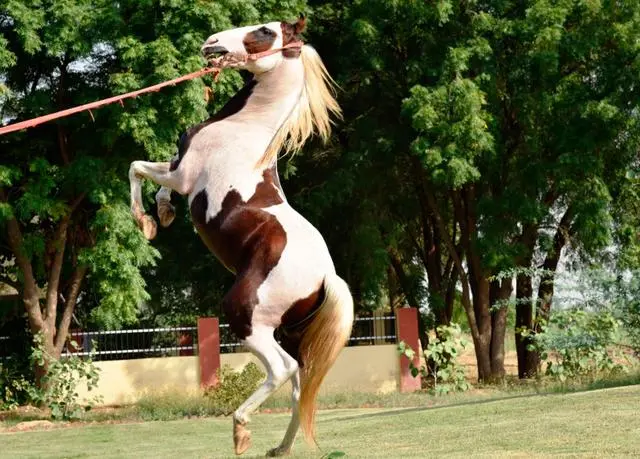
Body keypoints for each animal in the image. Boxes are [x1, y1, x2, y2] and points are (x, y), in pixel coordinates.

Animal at [127, 13, 352, 456]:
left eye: (264, 31)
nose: (211, 42)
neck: (244, 128)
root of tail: (326, 277)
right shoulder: (179, 173)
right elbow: (152, 177)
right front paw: (162, 215)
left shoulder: (182, 175)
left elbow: (137, 168)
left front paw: (144, 220)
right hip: (287, 331)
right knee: (300, 384)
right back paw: (279, 447)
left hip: (244, 314)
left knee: (283, 370)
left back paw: (241, 429)